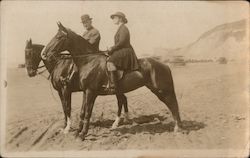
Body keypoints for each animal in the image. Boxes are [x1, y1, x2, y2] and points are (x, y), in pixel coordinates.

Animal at [42, 21, 183, 139]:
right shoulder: (85, 92)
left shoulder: (90, 92)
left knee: (173, 104)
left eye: (59, 37)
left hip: (162, 90)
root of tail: (164, 65)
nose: (44, 54)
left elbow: (86, 112)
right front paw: (78, 132)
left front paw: (82, 134)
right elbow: (82, 112)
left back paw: (177, 128)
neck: (89, 61)